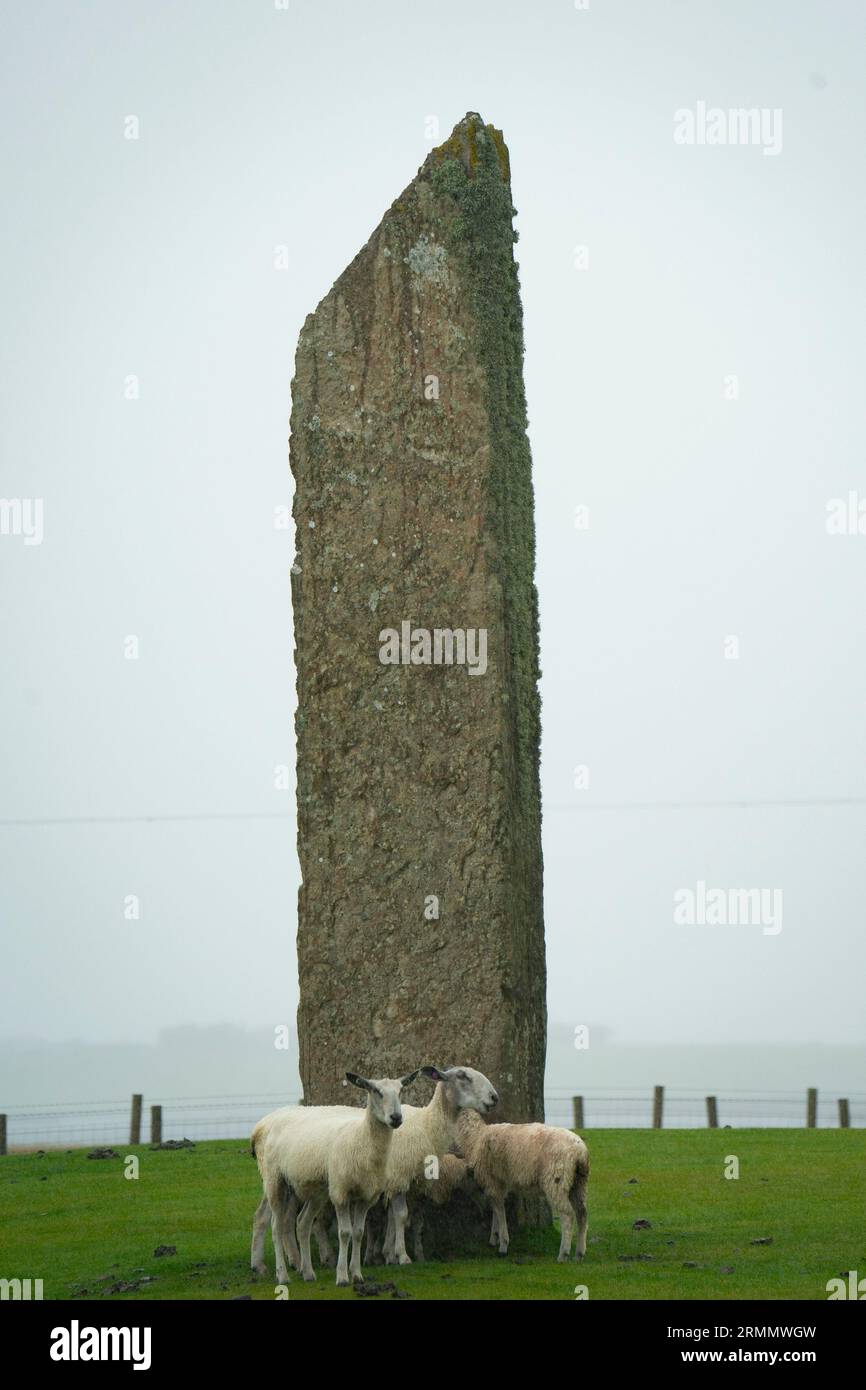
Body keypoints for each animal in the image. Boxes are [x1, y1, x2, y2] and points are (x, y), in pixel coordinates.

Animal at [252, 1067, 419, 1284]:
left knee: (302, 1223)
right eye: (375, 1091)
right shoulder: (340, 1193)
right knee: (276, 1226)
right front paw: (342, 1276)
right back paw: (282, 1275)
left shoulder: (366, 1197)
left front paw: (356, 1274)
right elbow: (345, 1233)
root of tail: (268, 1121)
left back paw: (308, 1273)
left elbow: (358, 1233)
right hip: (275, 1181)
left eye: (400, 1091)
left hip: (317, 1191)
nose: (396, 1117)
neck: (362, 1140)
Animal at [458, 1106, 592, 1262]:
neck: (475, 1136)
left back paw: (563, 1254)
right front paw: (494, 1238)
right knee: (582, 1213)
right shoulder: (499, 1183)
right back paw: (579, 1253)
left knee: (568, 1215)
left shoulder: (491, 1181)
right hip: (579, 1183)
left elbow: (499, 1210)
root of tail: (580, 1152)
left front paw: (503, 1245)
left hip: (556, 1180)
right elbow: (496, 1209)